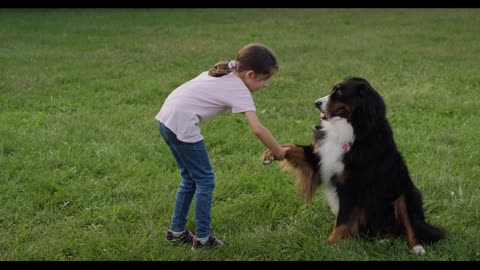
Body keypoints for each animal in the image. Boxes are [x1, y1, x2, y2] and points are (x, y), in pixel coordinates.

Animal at [262, 77, 446, 254]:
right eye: (333, 89)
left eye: (340, 92)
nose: (316, 103)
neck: (349, 129)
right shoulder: (320, 159)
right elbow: (294, 149)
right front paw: (271, 153)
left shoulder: (352, 185)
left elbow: (343, 220)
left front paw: (330, 243)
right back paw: (385, 240)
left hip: (406, 194)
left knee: (411, 226)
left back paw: (417, 248)